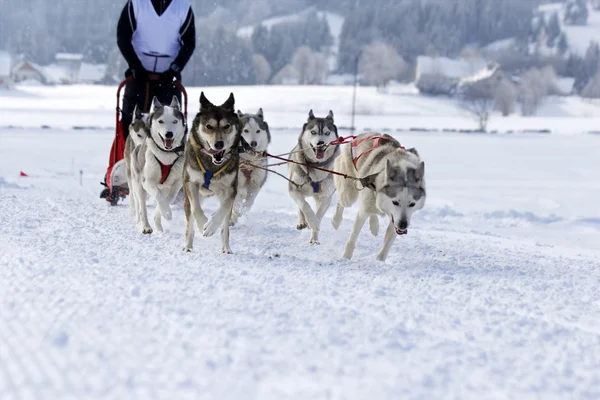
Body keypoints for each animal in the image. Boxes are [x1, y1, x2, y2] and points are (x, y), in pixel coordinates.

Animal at [130, 97, 186, 234]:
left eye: (175, 121)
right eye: (160, 121)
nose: (169, 134)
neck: (166, 154)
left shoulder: (177, 183)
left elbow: (169, 198)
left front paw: (164, 213)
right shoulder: (148, 181)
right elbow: (158, 196)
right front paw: (166, 212)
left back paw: (158, 226)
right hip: (139, 185)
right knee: (142, 207)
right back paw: (146, 226)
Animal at [183, 92, 241, 252]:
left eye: (227, 126)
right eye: (209, 126)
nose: (219, 144)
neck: (212, 165)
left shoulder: (231, 189)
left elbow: (224, 208)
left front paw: (211, 226)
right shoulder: (190, 183)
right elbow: (196, 208)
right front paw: (202, 222)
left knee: (225, 226)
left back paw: (226, 248)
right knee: (190, 223)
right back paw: (187, 246)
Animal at [288, 109, 340, 244]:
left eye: (327, 132)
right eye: (313, 132)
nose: (321, 143)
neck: (316, 165)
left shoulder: (326, 196)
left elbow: (319, 215)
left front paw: (315, 227)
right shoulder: (294, 188)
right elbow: (304, 205)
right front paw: (310, 221)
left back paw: (314, 239)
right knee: (301, 203)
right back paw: (302, 221)